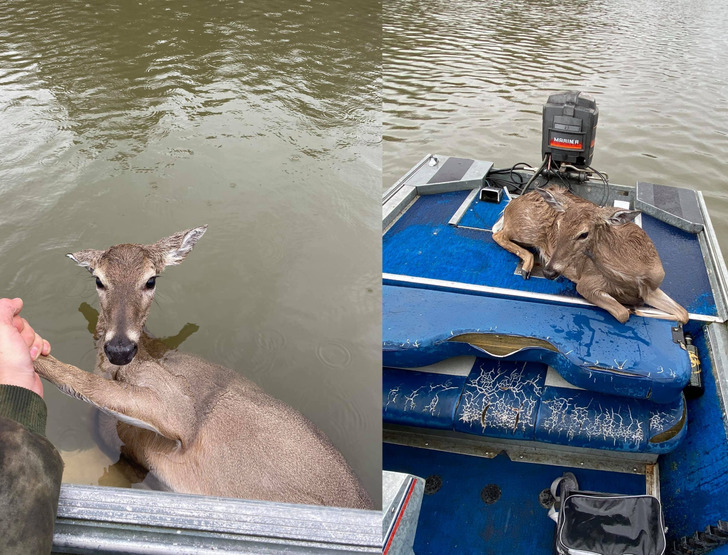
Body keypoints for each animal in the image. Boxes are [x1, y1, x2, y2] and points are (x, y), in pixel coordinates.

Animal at [492, 188, 692, 326]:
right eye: (558, 225)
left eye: (583, 234)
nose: (548, 272)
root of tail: (511, 204)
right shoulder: (586, 284)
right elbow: (622, 314)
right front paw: (632, 309)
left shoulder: (650, 288)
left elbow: (684, 314)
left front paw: (638, 309)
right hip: (527, 229)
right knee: (498, 234)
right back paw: (526, 266)